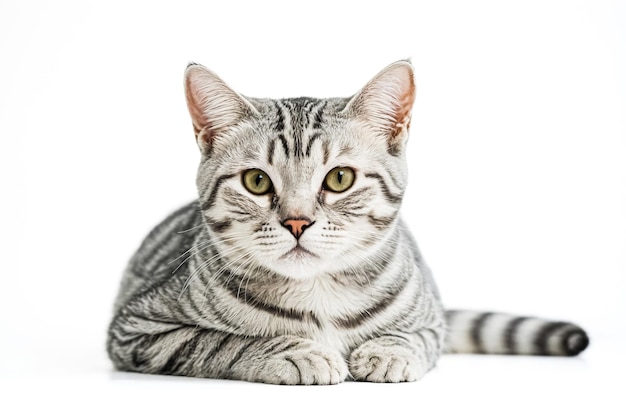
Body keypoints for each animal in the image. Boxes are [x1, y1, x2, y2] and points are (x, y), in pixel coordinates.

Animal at [105, 59, 588, 384]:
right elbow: (217, 341)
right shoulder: (137, 329)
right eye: (257, 181)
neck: (318, 292)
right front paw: (296, 353)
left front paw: (387, 351)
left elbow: (413, 338)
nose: (297, 222)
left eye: (340, 178)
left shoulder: (431, 322)